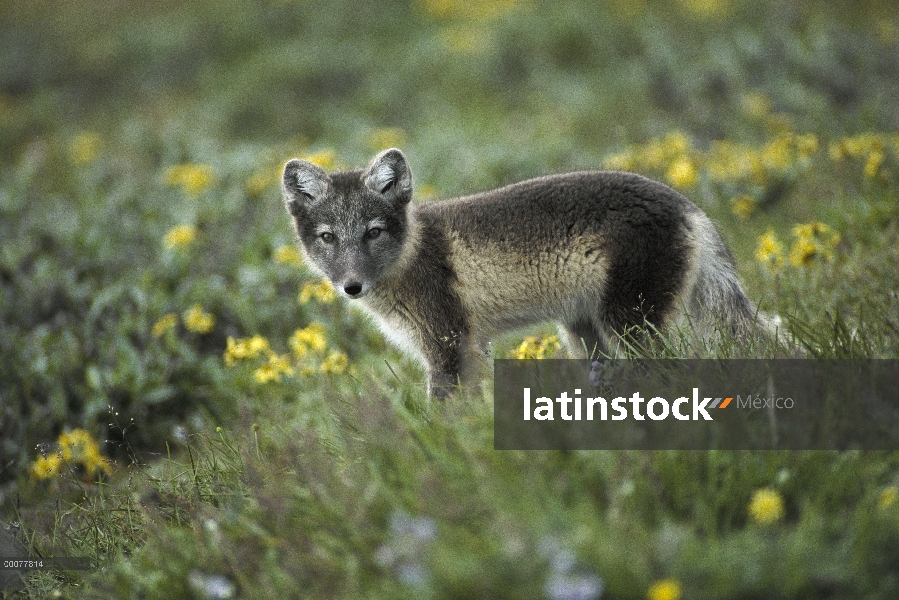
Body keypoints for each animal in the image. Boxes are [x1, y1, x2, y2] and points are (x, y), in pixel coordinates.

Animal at [284, 148, 772, 396]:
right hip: (584, 332)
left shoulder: (449, 344)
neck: (413, 251)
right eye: (328, 237)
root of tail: (689, 206)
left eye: (373, 232)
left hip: (628, 324)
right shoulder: (470, 344)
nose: (351, 286)